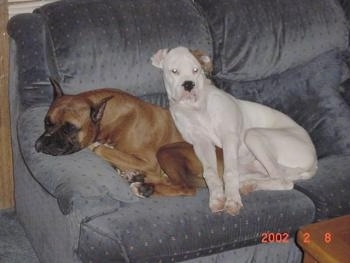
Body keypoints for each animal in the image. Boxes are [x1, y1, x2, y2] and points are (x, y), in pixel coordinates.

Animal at [34, 78, 227, 198]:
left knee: (186, 187)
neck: (109, 118)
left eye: (69, 129)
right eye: (46, 123)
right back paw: (137, 179)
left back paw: (143, 188)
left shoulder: (149, 162)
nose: (43, 142)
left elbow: (100, 148)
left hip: (167, 151)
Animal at [150, 47, 318, 217]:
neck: (196, 107)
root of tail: (315, 161)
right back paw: (249, 185)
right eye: (174, 71)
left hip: (253, 135)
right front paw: (217, 199)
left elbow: (229, 173)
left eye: (195, 70)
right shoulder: (201, 143)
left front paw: (232, 201)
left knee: (284, 181)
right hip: (254, 166)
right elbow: (210, 173)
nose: (189, 84)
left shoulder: (229, 137)